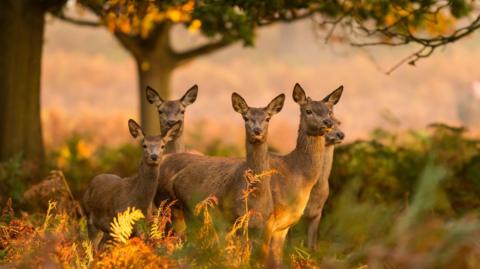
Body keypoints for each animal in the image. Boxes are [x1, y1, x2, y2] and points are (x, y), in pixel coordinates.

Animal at [158, 92, 284, 230]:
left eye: (268, 118)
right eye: (246, 118)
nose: (257, 130)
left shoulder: (263, 223)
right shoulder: (231, 217)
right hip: (185, 209)